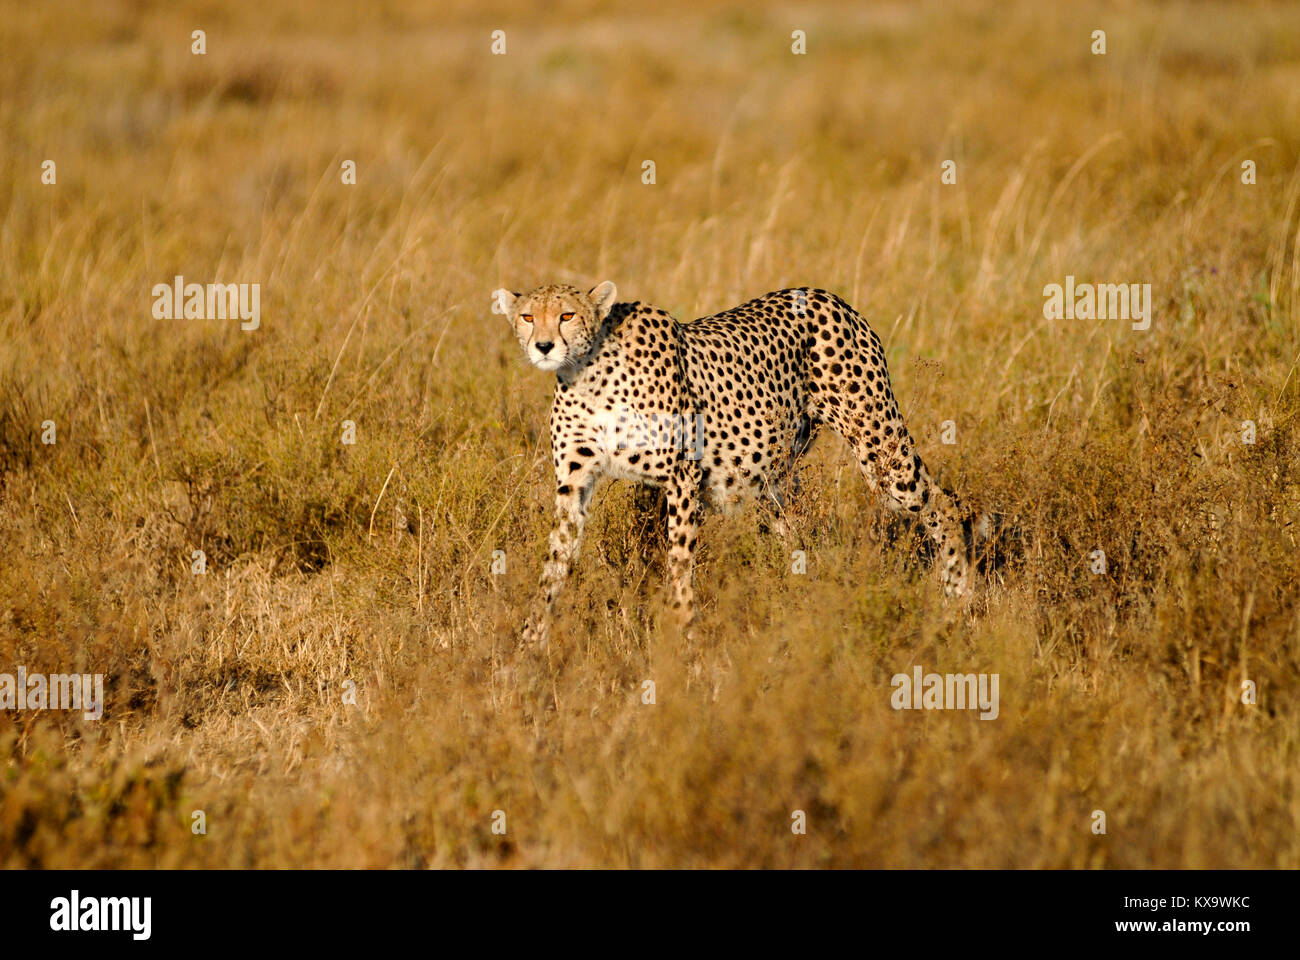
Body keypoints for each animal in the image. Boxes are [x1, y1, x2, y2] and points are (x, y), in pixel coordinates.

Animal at [491, 282, 972, 642]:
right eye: (528, 317)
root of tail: (824, 294)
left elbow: (679, 561)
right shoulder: (574, 485)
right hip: (771, 481)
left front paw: (684, 633)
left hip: (879, 448)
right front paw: (530, 645)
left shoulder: (683, 476)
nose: (544, 346)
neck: (587, 373)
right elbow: (555, 562)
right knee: (797, 538)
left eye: (567, 315)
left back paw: (958, 602)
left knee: (944, 504)